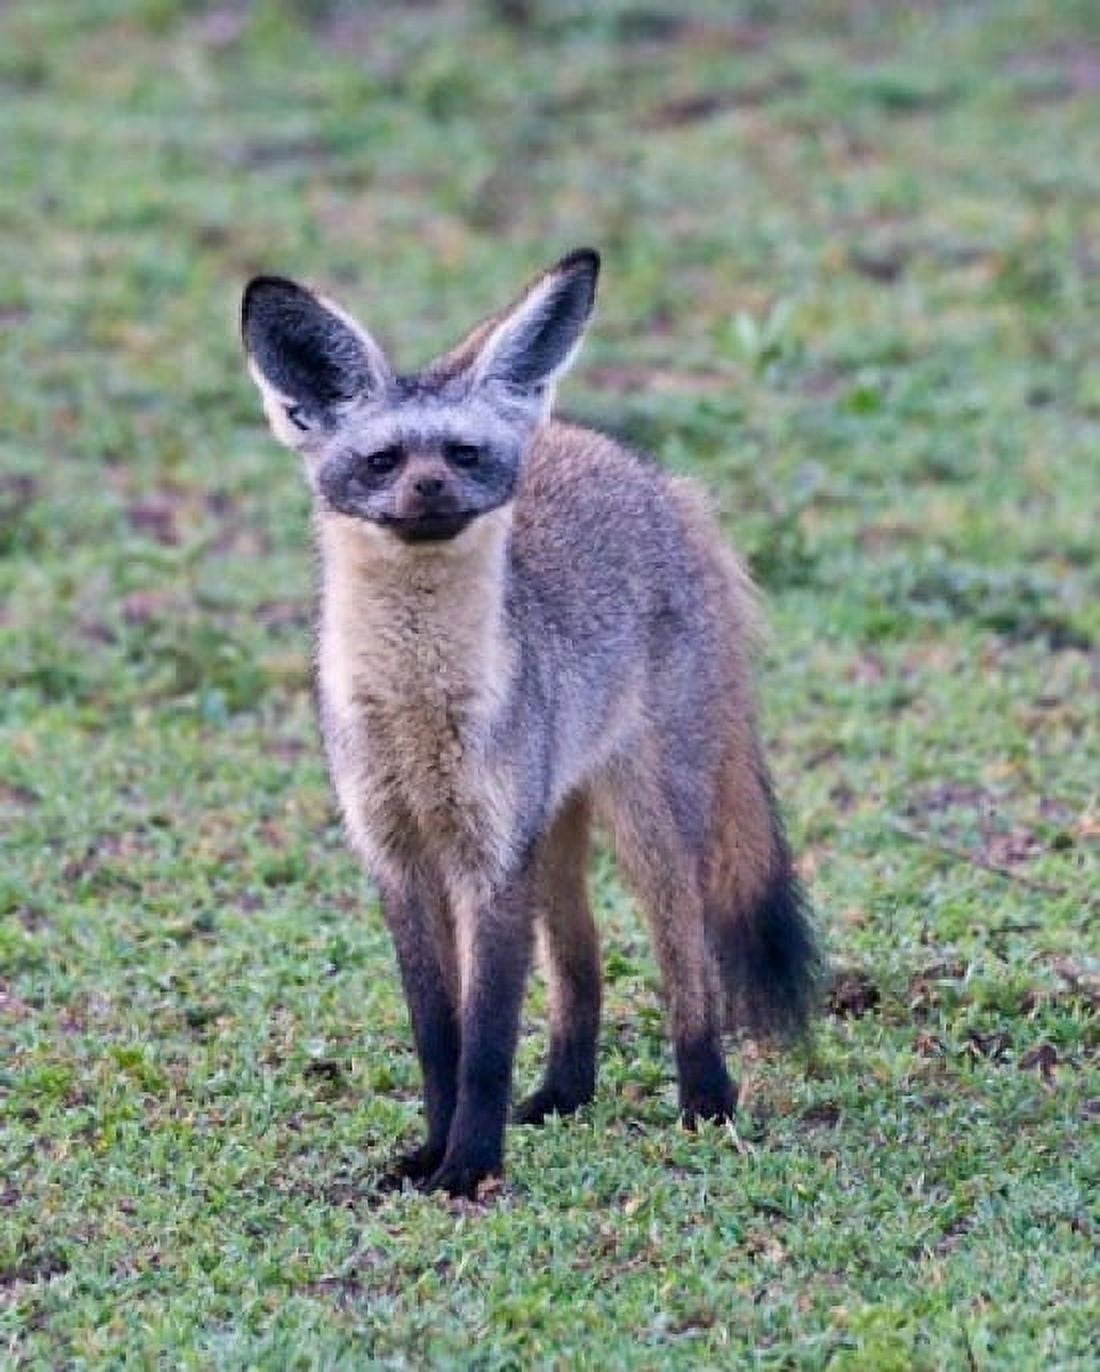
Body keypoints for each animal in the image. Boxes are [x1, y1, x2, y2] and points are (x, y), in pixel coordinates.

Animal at [240, 248, 819, 1198]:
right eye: (382, 459)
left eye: (464, 453)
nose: (430, 489)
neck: (417, 714)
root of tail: (659, 481)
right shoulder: (398, 859)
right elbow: (439, 1038)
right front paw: (432, 1153)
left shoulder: (490, 861)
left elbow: (485, 1042)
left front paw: (469, 1166)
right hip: (554, 833)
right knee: (582, 963)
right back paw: (563, 1094)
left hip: (648, 825)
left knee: (686, 961)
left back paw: (707, 1101)